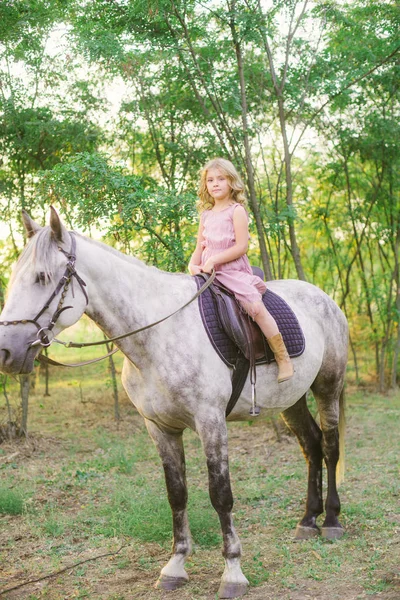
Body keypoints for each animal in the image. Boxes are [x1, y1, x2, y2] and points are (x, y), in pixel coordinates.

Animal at [0, 209, 348, 596]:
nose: (6, 352)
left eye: (42, 277)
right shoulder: (160, 428)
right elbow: (177, 493)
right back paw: (308, 520)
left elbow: (220, 494)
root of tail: (323, 297)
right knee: (311, 446)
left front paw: (233, 572)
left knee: (330, 446)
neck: (157, 335)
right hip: (291, 401)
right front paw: (176, 565)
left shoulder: (211, 422)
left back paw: (332, 521)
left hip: (327, 387)